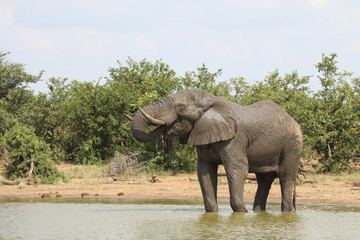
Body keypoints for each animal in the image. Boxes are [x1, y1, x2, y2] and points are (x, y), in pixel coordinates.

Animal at [126, 88, 300, 212]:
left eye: (180, 107)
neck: (211, 100)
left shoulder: (234, 139)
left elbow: (237, 169)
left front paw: (241, 212)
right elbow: (205, 171)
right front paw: (213, 213)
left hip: (292, 146)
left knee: (286, 177)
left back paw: (286, 212)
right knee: (264, 180)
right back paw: (258, 212)